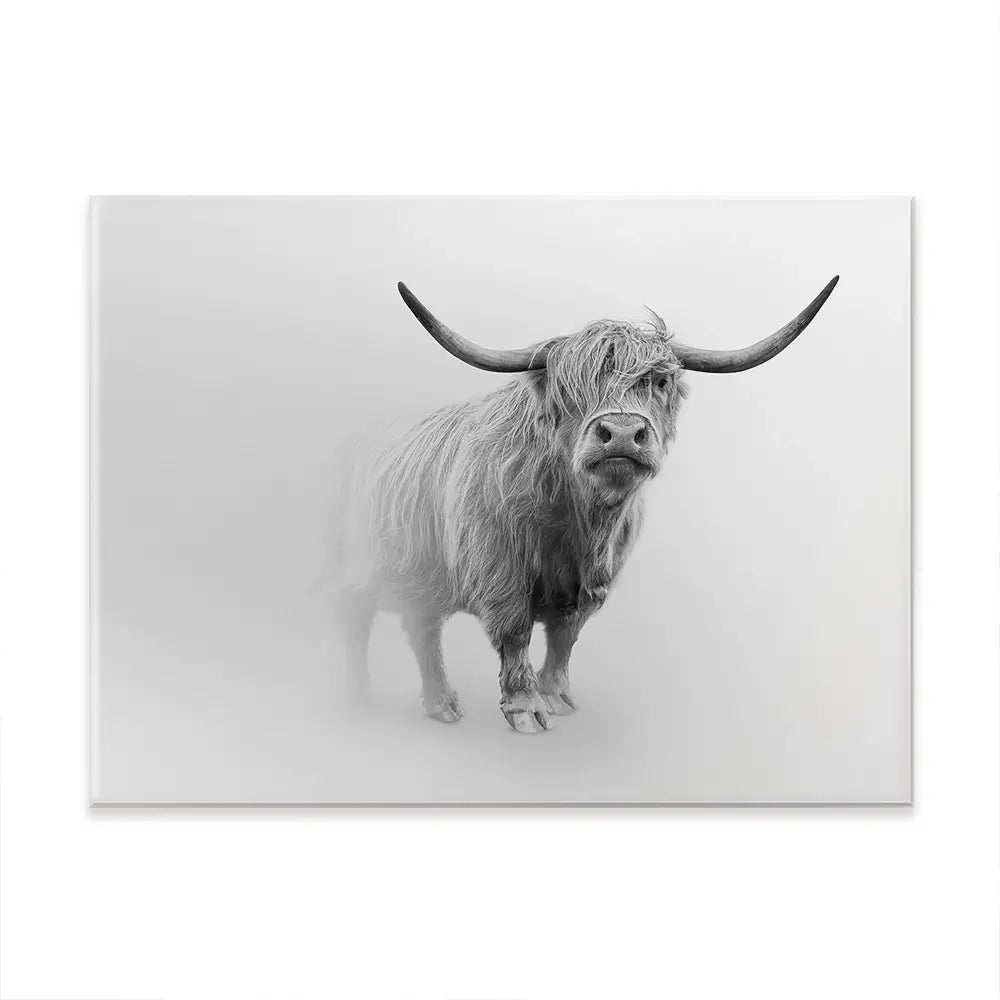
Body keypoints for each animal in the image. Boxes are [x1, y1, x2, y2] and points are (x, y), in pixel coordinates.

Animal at [332, 276, 839, 733]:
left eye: (659, 381)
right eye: (568, 389)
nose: (622, 433)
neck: (577, 519)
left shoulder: (592, 581)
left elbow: (564, 637)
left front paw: (556, 697)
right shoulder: (499, 570)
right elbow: (515, 632)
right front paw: (525, 708)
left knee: (422, 627)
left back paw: (440, 704)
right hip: (364, 564)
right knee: (357, 613)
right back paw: (357, 693)